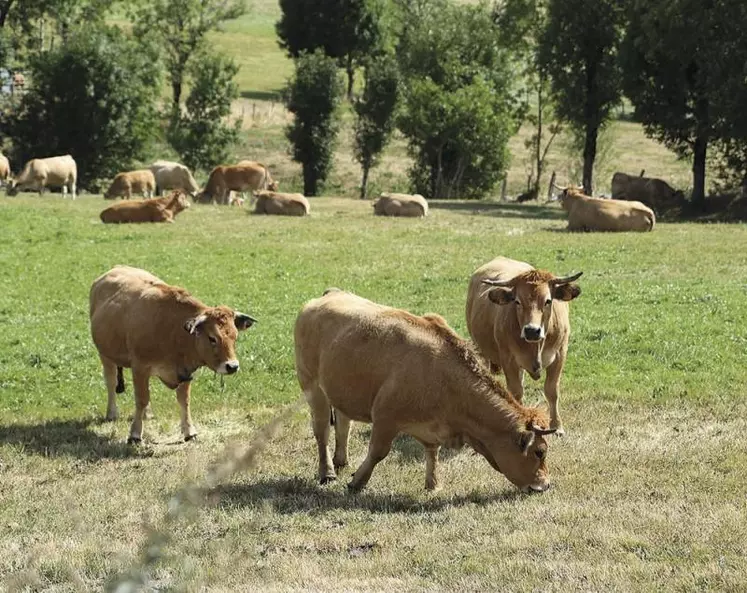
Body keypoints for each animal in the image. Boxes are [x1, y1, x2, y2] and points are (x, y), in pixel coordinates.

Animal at [90, 266, 258, 442]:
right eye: (212, 338)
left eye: (235, 337)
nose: (232, 366)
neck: (174, 331)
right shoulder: (140, 367)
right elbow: (141, 399)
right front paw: (135, 434)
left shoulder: (185, 372)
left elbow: (184, 400)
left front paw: (189, 431)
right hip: (105, 355)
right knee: (111, 382)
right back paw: (112, 413)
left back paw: (148, 414)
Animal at [296, 290, 560, 492]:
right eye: (539, 452)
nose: (545, 485)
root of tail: (328, 295)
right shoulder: (385, 418)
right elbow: (377, 452)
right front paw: (358, 482)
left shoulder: (433, 427)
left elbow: (432, 452)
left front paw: (433, 484)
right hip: (312, 387)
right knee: (321, 431)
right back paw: (327, 472)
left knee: (343, 422)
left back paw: (341, 460)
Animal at [468, 256, 584, 432]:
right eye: (517, 301)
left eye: (548, 301)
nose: (532, 330)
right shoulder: (508, 359)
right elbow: (516, 393)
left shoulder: (560, 354)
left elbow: (552, 391)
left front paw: (557, 426)